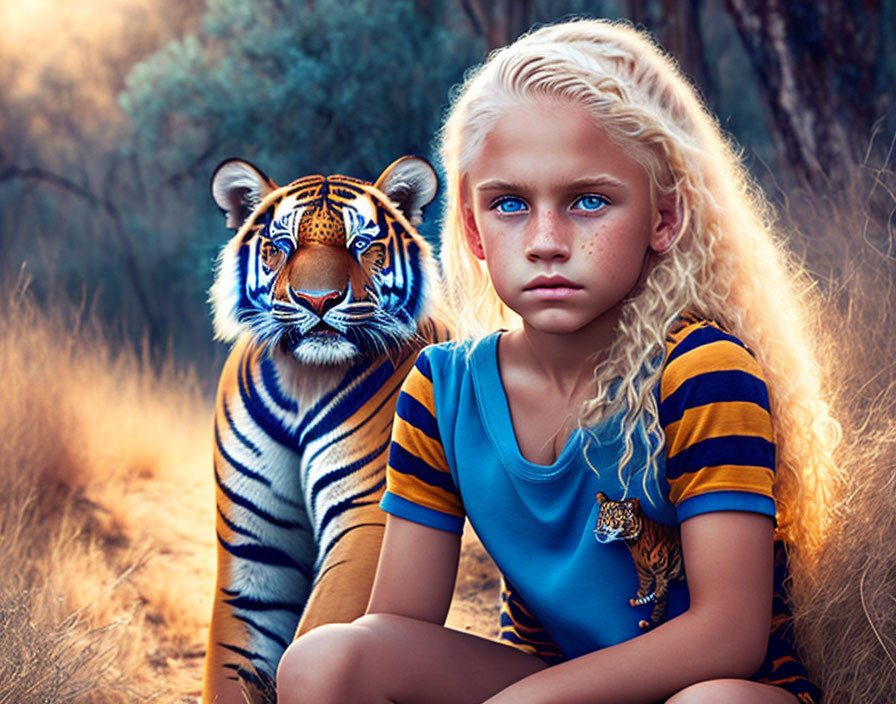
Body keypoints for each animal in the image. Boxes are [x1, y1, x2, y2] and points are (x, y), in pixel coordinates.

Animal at [197, 157, 448, 704]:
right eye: (282, 245)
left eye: (361, 244)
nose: (318, 300)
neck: (304, 380)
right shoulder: (256, 541)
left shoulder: (367, 518)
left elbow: (321, 631)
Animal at [596, 492, 688, 628]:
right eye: (601, 519)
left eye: (615, 521)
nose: (601, 530)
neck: (633, 542)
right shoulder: (641, 565)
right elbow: (646, 581)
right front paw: (642, 594)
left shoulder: (661, 566)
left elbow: (659, 590)